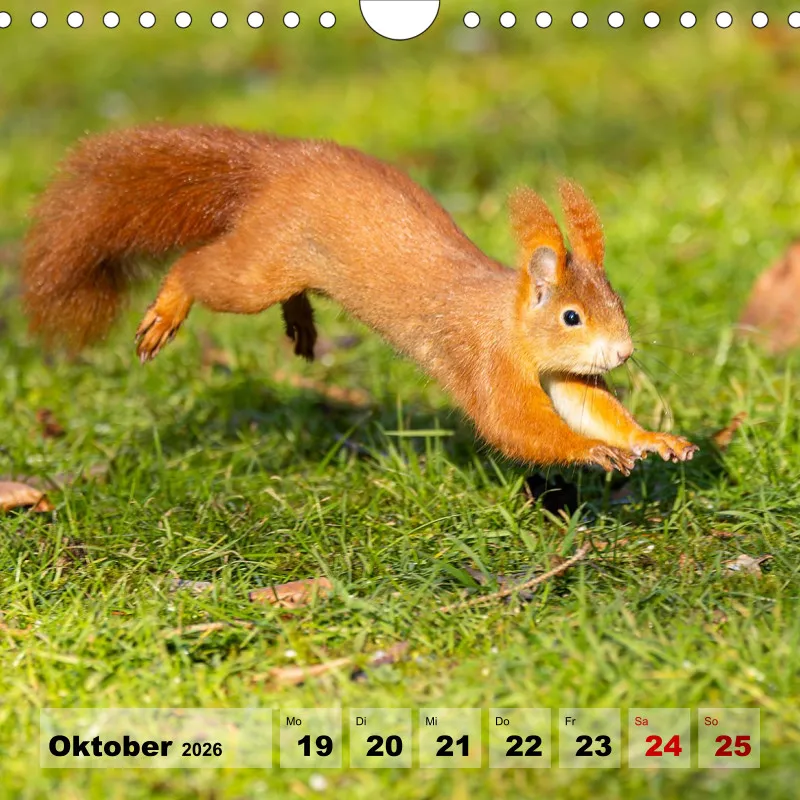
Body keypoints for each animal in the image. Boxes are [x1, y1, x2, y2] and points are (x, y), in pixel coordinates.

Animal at [21, 124, 697, 474]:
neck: (508, 320)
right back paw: (169, 309)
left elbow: (589, 405)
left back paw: (301, 321)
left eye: (619, 303)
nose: (623, 353)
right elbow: (516, 425)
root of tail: (282, 161)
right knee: (199, 270)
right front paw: (593, 451)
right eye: (571, 315)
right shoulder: (484, 360)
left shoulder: (562, 372)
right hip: (262, 265)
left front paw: (651, 438)